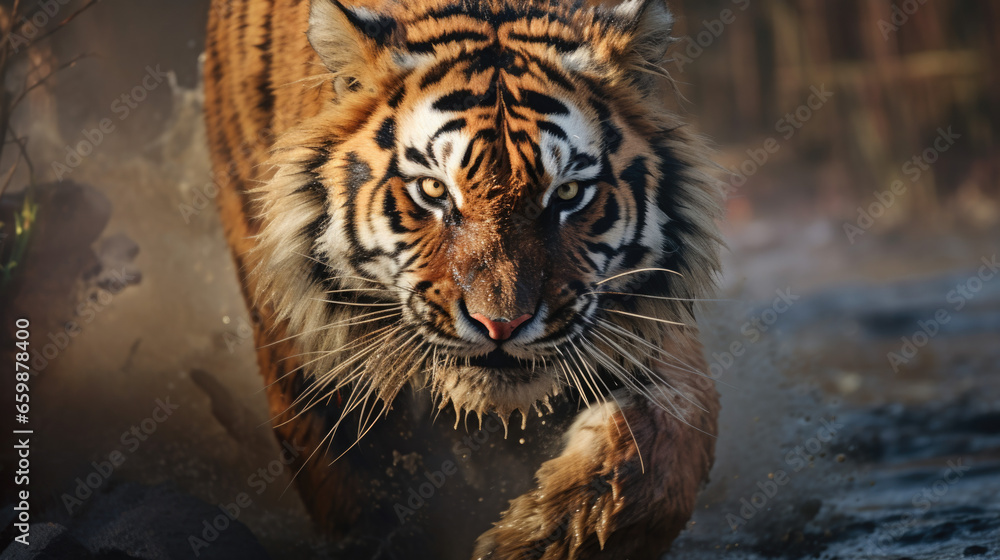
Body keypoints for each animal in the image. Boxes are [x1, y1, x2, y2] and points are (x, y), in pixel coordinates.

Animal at [203, 0, 723, 558]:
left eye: (566, 194)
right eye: (434, 190)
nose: (501, 325)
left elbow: (658, 465)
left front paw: (527, 537)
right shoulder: (312, 364)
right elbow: (363, 501)